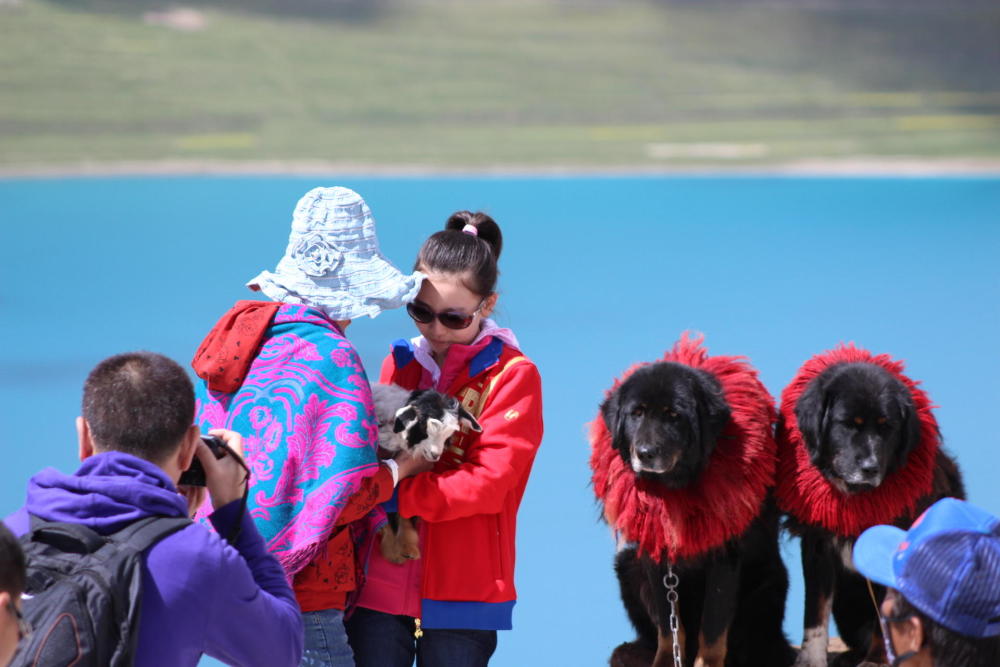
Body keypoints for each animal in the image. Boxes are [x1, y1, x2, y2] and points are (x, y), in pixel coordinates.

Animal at [588, 336, 792, 667]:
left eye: (673, 415)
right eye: (636, 413)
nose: (645, 453)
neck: (676, 490)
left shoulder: (725, 556)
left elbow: (712, 630)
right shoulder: (656, 554)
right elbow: (669, 627)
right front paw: (663, 661)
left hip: (769, 583)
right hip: (627, 564)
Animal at [776, 344, 964, 667]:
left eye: (887, 428)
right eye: (848, 424)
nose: (870, 467)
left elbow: (883, 615)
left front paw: (877, 659)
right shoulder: (817, 544)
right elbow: (815, 611)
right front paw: (811, 659)